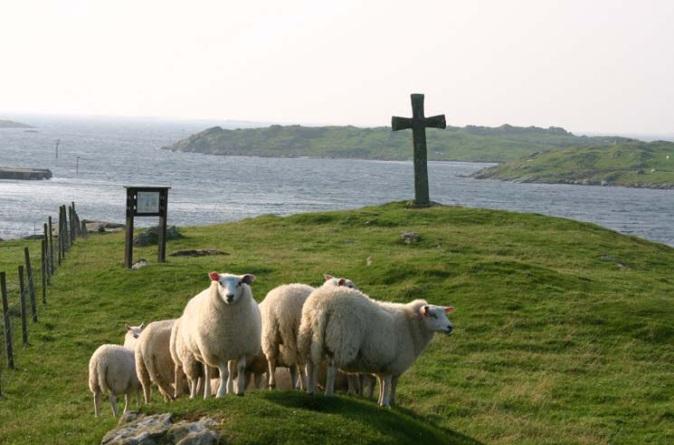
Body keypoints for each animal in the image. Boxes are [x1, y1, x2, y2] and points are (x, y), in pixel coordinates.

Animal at [298, 286, 452, 408]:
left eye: (444, 314)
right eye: (433, 315)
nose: (450, 327)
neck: (412, 326)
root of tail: (322, 304)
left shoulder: (383, 365)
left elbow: (382, 382)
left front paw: (380, 402)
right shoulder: (393, 364)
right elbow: (388, 384)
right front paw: (386, 404)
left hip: (308, 334)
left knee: (310, 365)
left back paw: (310, 390)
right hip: (340, 340)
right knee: (331, 369)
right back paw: (329, 393)